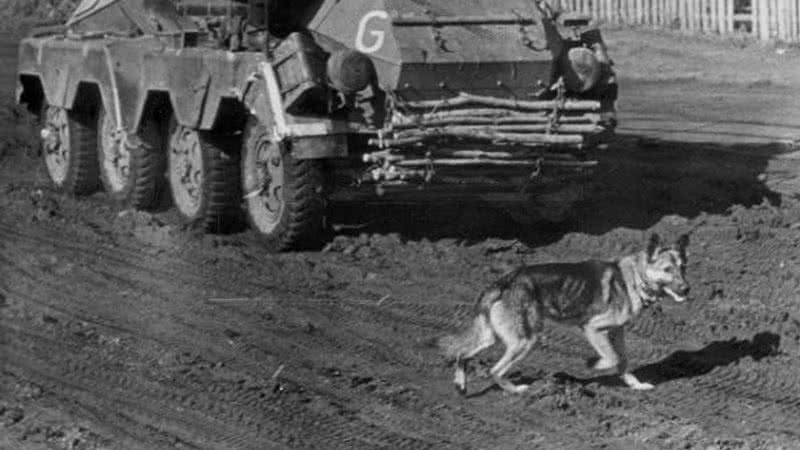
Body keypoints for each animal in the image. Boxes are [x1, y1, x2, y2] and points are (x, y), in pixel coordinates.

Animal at [440, 234, 692, 396]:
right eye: (667, 270)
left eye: (683, 268)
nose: (687, 289)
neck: (634, 278)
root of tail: (504, 281)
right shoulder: (592, 328)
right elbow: (611, 358)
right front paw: (594, 364)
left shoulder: (616, 332)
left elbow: (623, 360)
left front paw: (635, 385)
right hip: (526, 341)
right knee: (494, 370)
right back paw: (518, 391)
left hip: (493, 337)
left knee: (462, 354)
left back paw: (460, 384)